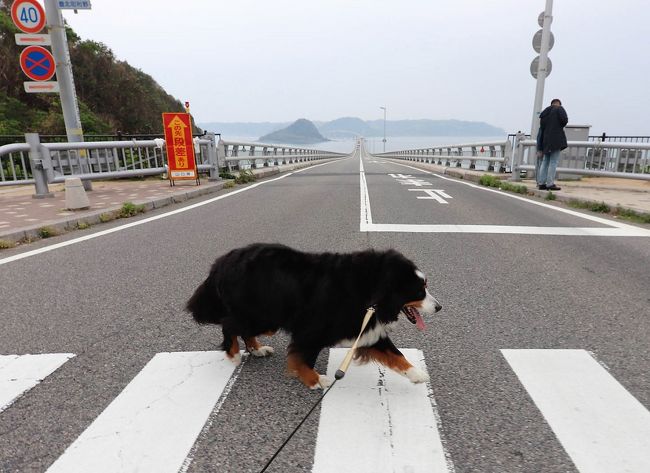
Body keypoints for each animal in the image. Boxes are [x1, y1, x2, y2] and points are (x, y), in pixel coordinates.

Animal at [187, 243, 440, 388]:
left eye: (425, 285)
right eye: (419, 291)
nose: (439, 307)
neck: (371, 290)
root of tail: (223, 261)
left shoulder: (365, 326)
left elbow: (396, 354)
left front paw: (417, 374)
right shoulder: (312, 329)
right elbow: (302, 358)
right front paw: (315, 380)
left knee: (242, 328)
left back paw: (257, 349)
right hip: (262, 314)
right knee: (230, 324)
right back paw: (233, 355)